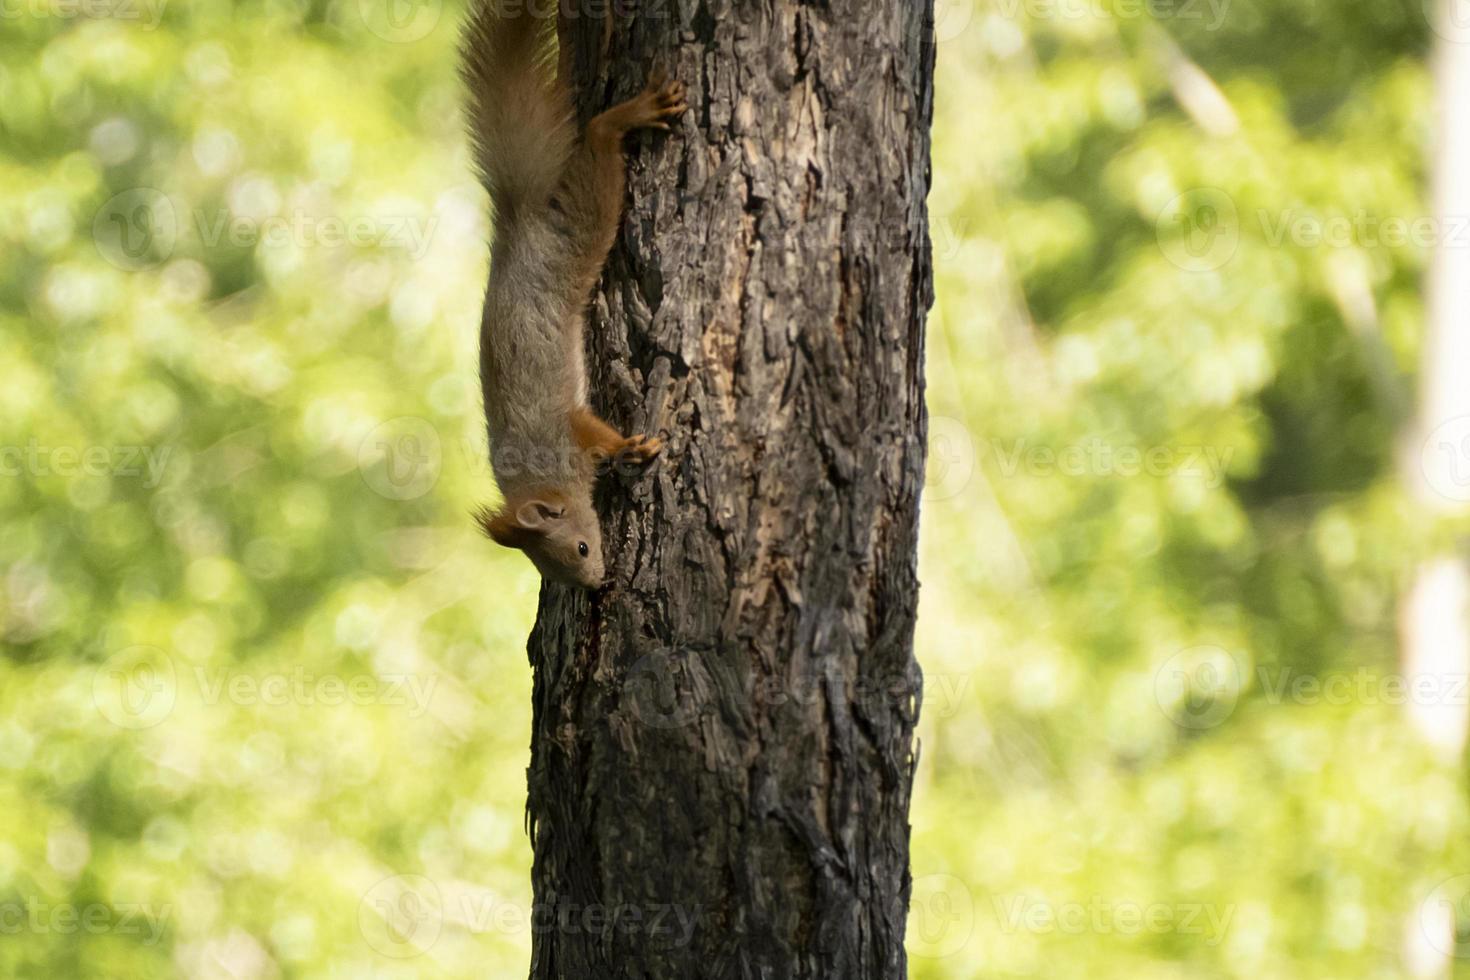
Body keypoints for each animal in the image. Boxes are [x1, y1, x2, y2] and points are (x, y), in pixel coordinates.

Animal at [458, 0, 687, 590]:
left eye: (582, 547)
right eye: (556, 570)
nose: (598, 584)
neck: (543, 479)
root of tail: (515, 225)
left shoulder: (567, 430)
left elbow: (595, 431)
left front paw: (631, 445)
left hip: (577, 239)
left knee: (599, 145)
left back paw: (624, 118)